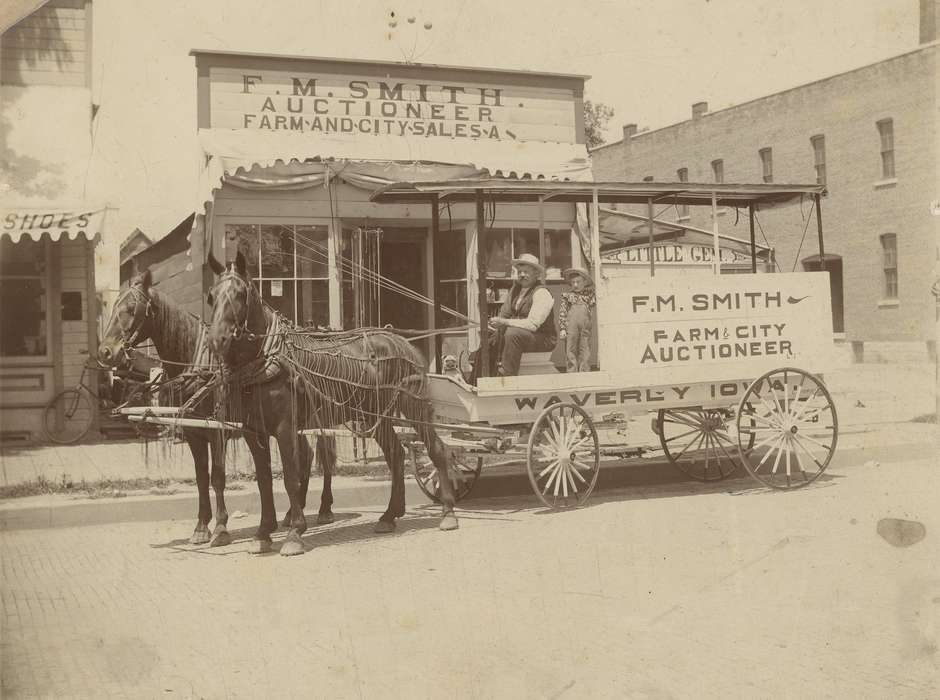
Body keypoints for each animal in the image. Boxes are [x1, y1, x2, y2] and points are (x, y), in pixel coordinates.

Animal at [97, 268, 332, 548]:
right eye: (114, 307)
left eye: (132, 309)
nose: (105, 352)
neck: (196, 366)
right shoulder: (194, 434)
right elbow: (201, 478)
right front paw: (201, 527)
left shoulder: (216, 431)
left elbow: (218, 477)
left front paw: (220, 528)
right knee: (306, 457)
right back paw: (291, 516)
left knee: (325, 457)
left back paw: (325, 509)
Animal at [207, 252, 458, 556]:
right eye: (211, 296)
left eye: (241, 294)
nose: (216, 340)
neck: (266, 359)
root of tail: (400, 340)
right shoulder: (253, 431)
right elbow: (264, 481)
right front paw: (263, 533)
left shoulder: (285, 428)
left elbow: (290, 478)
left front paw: (294, 533)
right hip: (373, 415)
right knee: (396, 454)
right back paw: (389, 515)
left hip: (413, 406)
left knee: (437, 450)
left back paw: (448, 511)